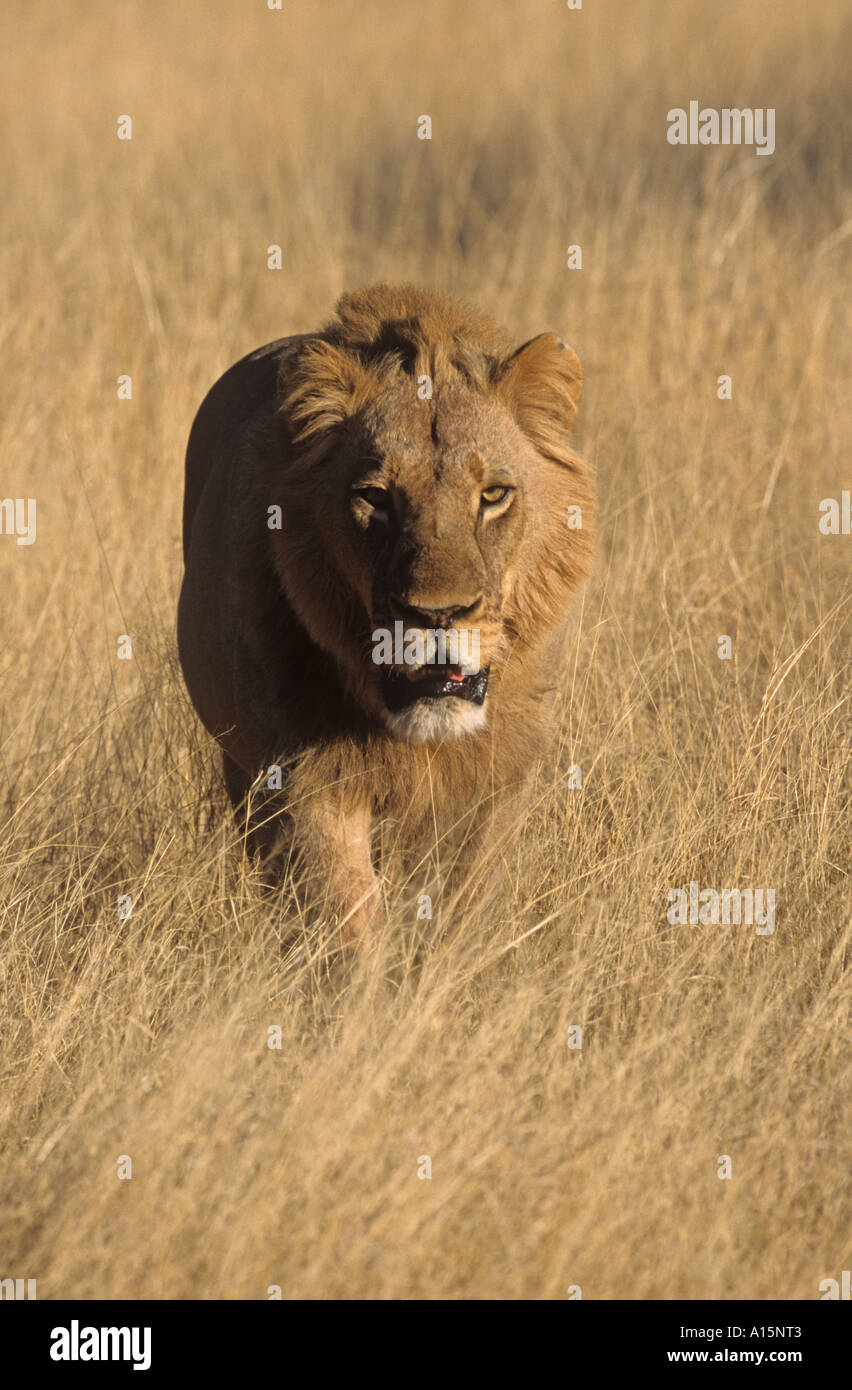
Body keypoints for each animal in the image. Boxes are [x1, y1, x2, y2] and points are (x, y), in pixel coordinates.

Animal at [178, 284, 595, 939]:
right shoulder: (302, 779)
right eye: (375, 497)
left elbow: (458, 912)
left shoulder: (495, 781)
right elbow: (346, 918)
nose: (438, 615)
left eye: (493, 495)